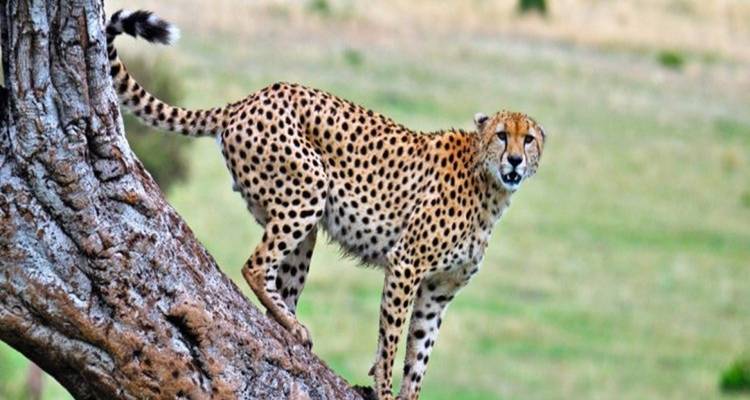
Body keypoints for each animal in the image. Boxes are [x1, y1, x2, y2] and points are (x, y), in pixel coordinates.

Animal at [106, 9, 547, 400]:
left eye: (528, 139)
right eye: (502, 135)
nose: (514, 161)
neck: (490, 188)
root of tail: (250, 98)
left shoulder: (438, 290)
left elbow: (420, 352)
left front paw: (408, 391)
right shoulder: (406, 264)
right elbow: (391, 339)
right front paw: (383, 391)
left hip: (301, 224)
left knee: (279, 279)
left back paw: (287, 323)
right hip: (309, 189)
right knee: (255, 265)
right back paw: (295, 327)